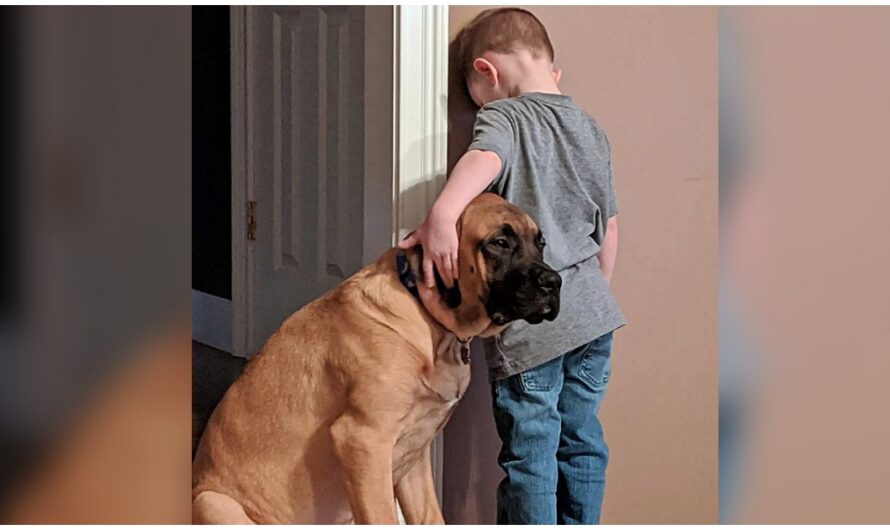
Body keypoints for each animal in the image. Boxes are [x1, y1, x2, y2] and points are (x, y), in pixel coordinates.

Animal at [191, 192, 560, 520]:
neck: (429, 320)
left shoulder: (414, 455)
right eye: (499, 243)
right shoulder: (364, 440)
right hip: (212, 502)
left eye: (540, 243)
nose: (553, 282)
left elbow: (430, 516)